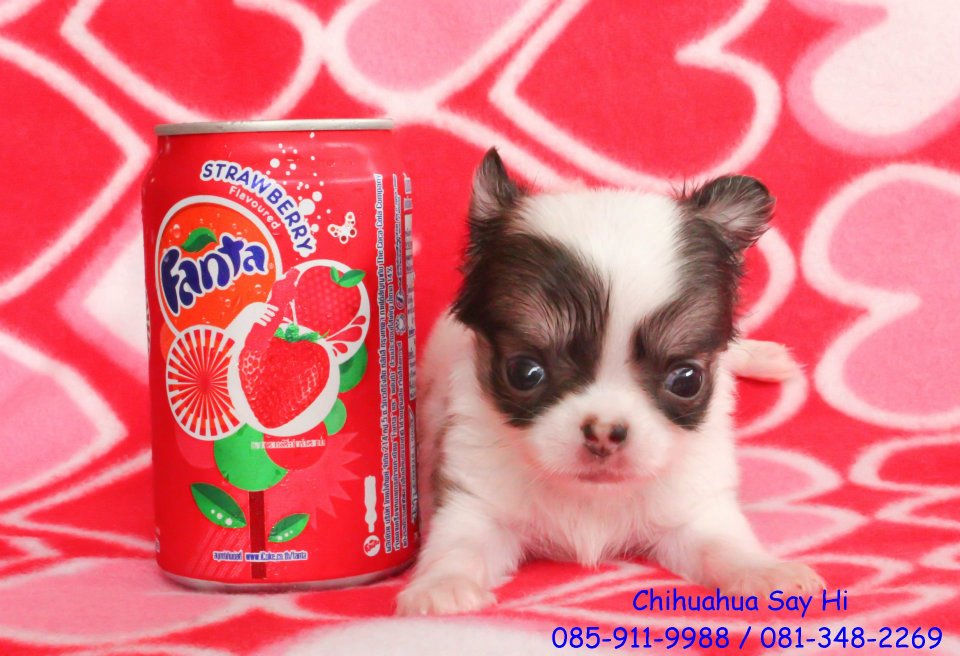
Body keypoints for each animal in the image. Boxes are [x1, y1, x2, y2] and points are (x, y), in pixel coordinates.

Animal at [397, 148, 822, 615]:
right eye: (525, 372)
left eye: (687, 380)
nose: (603, 432)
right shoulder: (476, 502)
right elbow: (459, 547)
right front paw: (440, 586)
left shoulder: (695, 508)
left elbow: (724, 545)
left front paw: (766, 572)